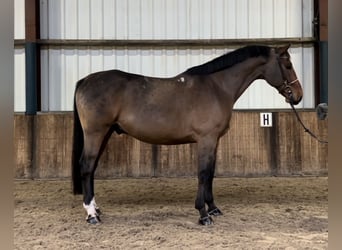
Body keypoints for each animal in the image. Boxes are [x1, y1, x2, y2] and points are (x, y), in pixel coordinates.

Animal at [71, 44, 302, 225]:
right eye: (288, 66)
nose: (298, 96)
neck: (216, 87)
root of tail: (84, 80)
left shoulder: (214, 141)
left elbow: (211, 173)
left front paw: (213, 208)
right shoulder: (206, 139)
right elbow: (203, 173)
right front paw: (203, 214)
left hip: (106, 133)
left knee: (92, 168)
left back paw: (96, 209)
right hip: (96, 133)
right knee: (87, 166)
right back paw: (92, 215)